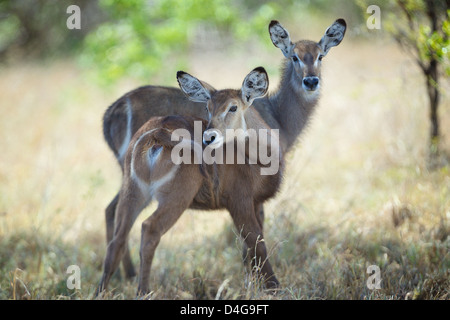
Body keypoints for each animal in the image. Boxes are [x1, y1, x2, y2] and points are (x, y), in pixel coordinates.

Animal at [98, 67, 284, 296]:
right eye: (208, 107)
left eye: (233, 107)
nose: (209, 136)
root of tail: (156, 135)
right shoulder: (239, 200)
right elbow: (256, 241)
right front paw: (274, 287)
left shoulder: (256, 202)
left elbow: (252, 244)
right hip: (177, 197)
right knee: (149, 229)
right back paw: (143, 292)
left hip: (133, 192)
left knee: (117, 239)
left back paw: (101, 292)